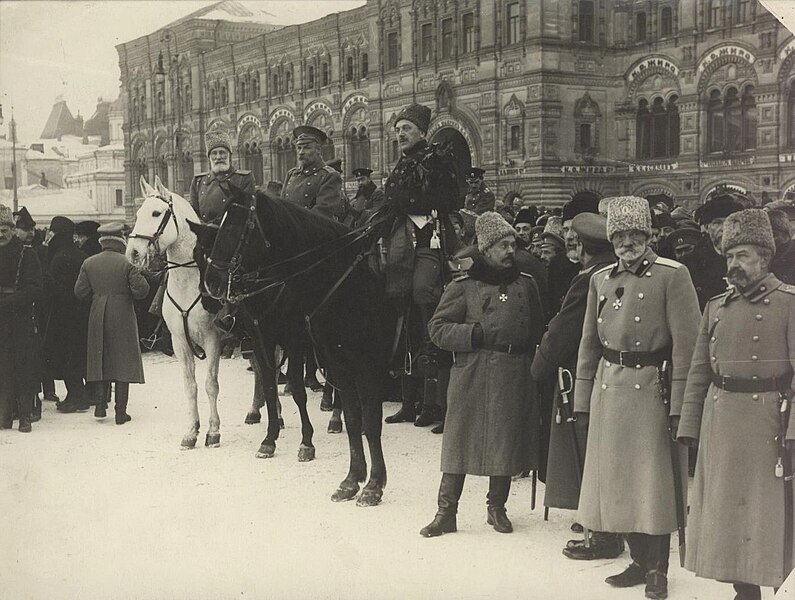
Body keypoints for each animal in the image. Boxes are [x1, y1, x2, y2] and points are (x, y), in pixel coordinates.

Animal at [127, 176, 222, 448]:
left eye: (156, 213)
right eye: (138, 213)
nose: (132, 253)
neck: (189, 282)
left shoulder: (213, 339)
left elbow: (211, 384)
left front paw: (213, 432)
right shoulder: (180, 342)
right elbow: (190, 387)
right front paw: (191, 431)